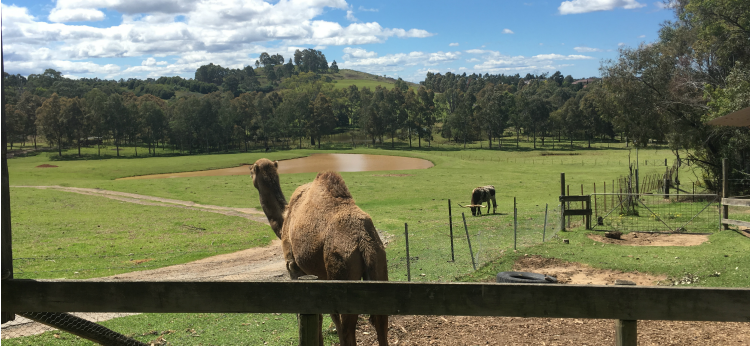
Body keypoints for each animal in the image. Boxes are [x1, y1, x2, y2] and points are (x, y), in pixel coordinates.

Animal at [253, 159, 390, 346]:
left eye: (251, 170)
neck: (284, 219)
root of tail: (364, 240)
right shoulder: (320, 276)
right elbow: (325, 316)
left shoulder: (294, 267)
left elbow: (306, 314)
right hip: (378, 261)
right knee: (381, 321)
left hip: (341, 267)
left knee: (348, 328)